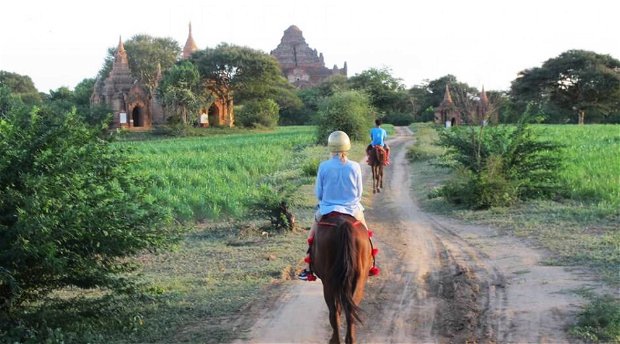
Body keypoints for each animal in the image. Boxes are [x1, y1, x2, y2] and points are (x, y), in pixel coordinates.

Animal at [310, 212, 372, 344]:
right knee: (350, 311)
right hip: (358, 281)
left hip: (328, 283)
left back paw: (335, 340)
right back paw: (349, 339)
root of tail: (345, 225)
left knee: (334, 312)